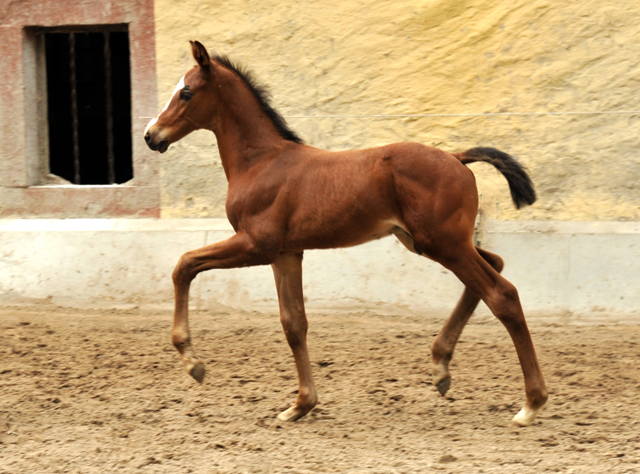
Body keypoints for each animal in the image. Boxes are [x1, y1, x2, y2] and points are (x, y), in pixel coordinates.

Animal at [144, 39, 544, 426]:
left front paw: (193, 363)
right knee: (494, 263)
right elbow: (294, 323)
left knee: (502, 294)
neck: (260, 161)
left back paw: (531, 404)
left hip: (443, 244)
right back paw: (440, 366)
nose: (151, 135)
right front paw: (301, 405)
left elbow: (184, 264)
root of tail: (457, 158)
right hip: (432, 242)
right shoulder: (286, 253)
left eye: (186, 92)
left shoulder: (256, 245)